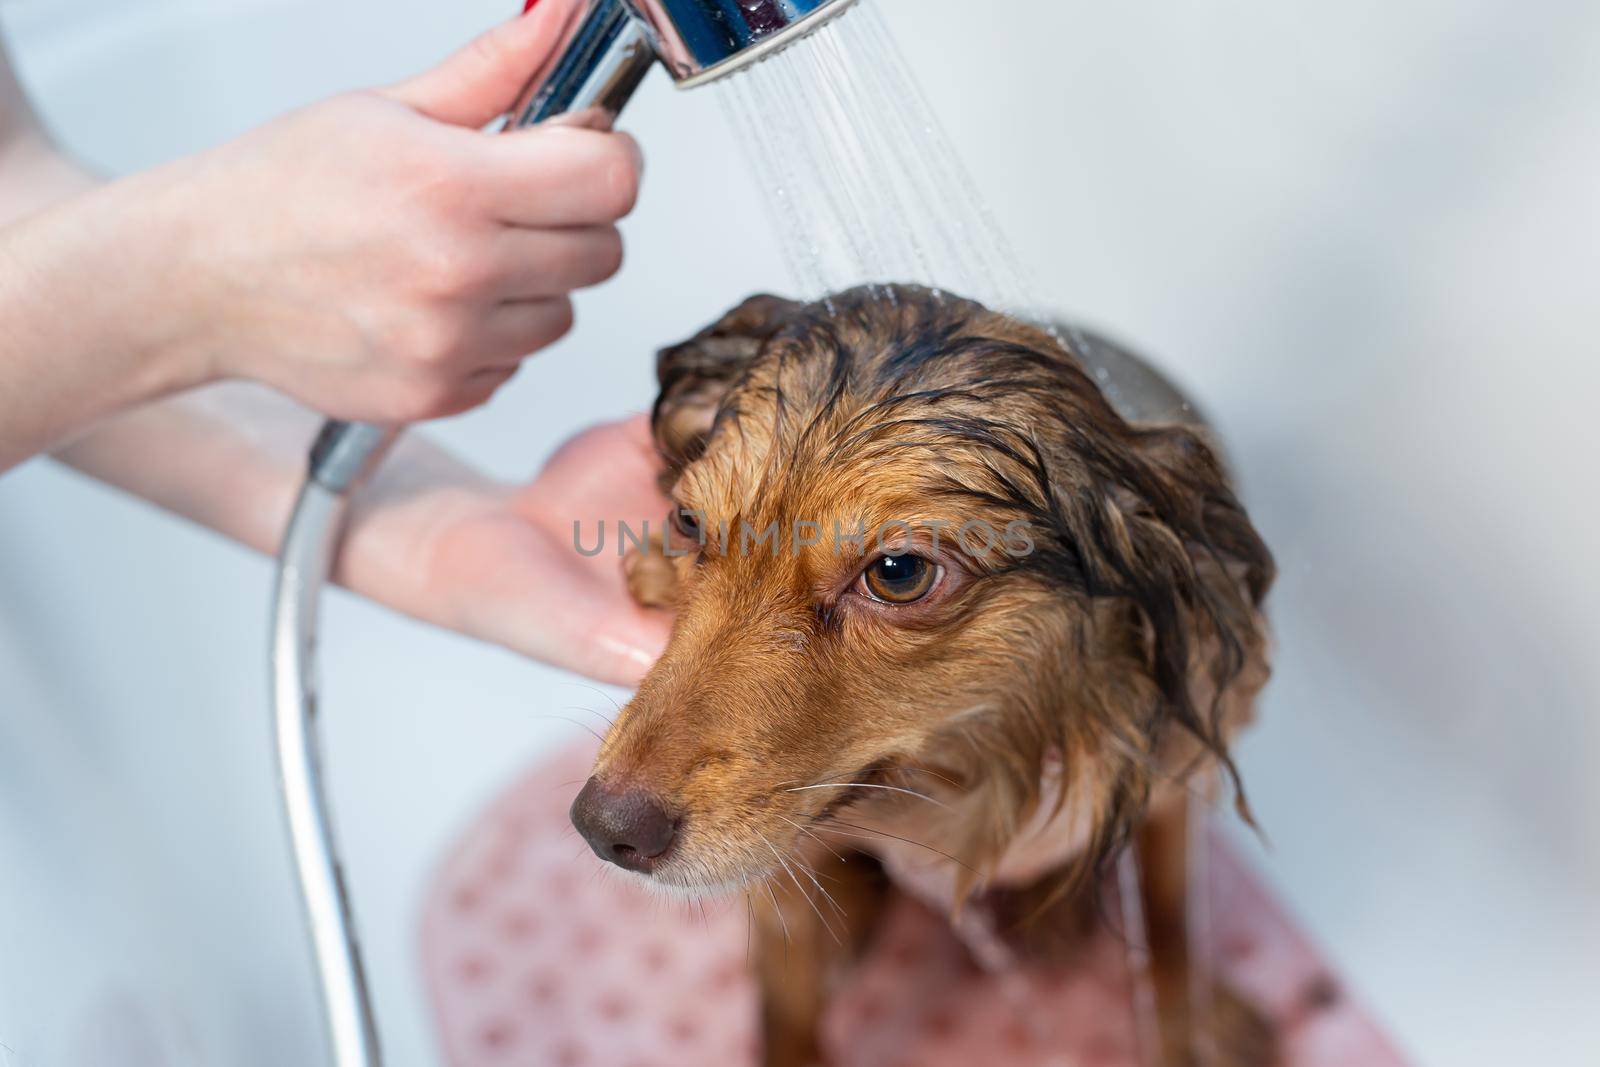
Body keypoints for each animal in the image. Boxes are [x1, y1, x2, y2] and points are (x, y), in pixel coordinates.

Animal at [569, 286, 1280, 1067]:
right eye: (688, 521)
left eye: (898, 572)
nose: (605, 828)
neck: (974, 755)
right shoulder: (791, 866)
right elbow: (789, 1010)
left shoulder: (1171, 784)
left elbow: (1171, 923)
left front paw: (1190, 1028)